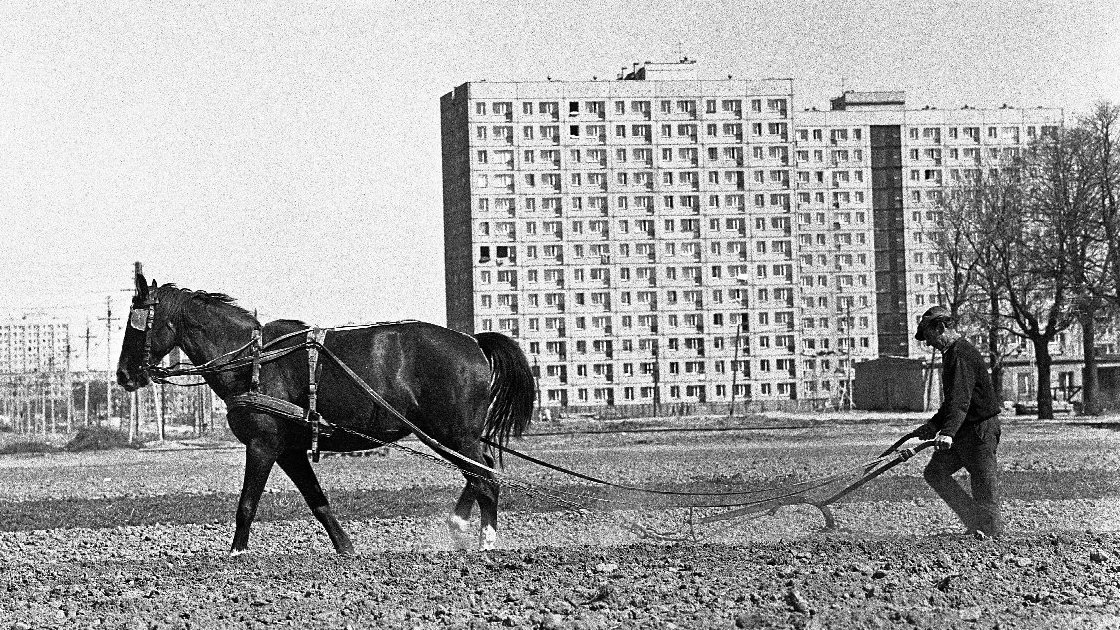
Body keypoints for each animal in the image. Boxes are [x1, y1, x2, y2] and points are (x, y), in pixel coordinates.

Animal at [115, 272, 535, 551]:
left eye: (136, 327)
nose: (122, 375)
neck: (253, 360)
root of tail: (472, 341)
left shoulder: (263, 445)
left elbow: (247, 504)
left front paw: (236, 554)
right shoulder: (289, 451)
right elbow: (317, 501)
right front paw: (346, 548)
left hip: (453, 433)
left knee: (485, 477)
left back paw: (484, 541)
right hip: (445, 434)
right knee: (481, 472)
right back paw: (461, 525)